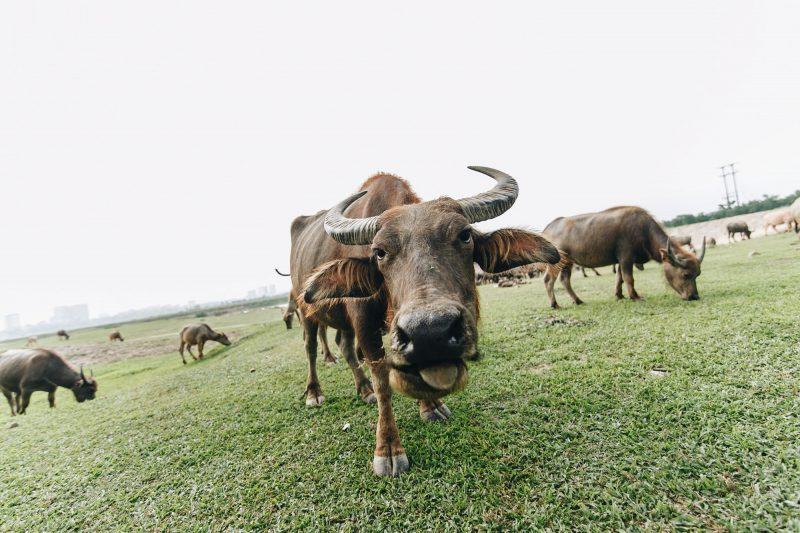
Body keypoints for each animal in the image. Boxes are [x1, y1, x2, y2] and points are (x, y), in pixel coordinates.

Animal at [290, 166, 560, 474]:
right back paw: (314, 393)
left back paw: (363, 389)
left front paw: (430, 406)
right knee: (311, 348)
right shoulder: (364, 323)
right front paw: (388, 448)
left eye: (465, 235)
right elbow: (383, 382)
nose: (430, 333)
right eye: (379, 252)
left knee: (345, 347)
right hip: (305, 311)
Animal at [540, 204, 704, 306]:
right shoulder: (626, 258)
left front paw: (619, 295)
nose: (694, 296)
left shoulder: (620, 261)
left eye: (698, 275)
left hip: (568, 262)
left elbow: (619, 278)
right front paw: (635, 296)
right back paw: (554, 304)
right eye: (686, 275)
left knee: (565, 280)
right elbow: (629, 278)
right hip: (557, 262)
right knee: (549, 280)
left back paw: (578, 300)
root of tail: (548, 228)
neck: (644, 231)